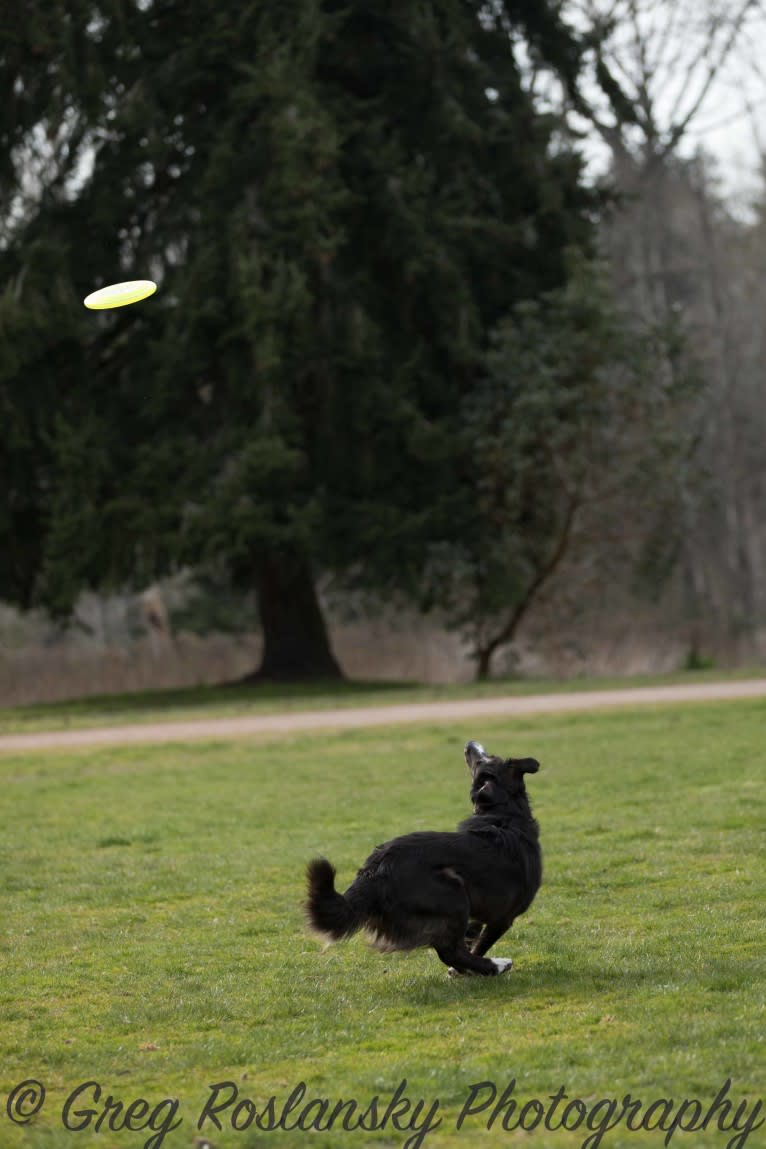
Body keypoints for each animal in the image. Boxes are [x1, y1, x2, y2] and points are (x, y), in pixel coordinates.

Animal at [303, 739, 542, 974]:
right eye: (480, 762)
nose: (469, 745)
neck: (504, 814)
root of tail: (374, 872)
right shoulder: (503, 917)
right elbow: (481, 943)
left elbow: (472, 935)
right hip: (452, 894)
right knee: (450, 952)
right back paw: (497, 966)